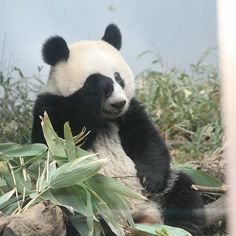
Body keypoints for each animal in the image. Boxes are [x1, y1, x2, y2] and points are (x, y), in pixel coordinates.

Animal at [31, 23, 205, 234]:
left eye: (119, 78)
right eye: (106, 89)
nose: (119, 103)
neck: (105, 119)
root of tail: (137, 218)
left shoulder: (129, 115)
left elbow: (147, 140)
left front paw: (151, 179)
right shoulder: (49, 111)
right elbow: (66, 139)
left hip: (158, 193)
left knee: (183, 191)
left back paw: (182, 228)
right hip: (79, 198)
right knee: (83, 219)